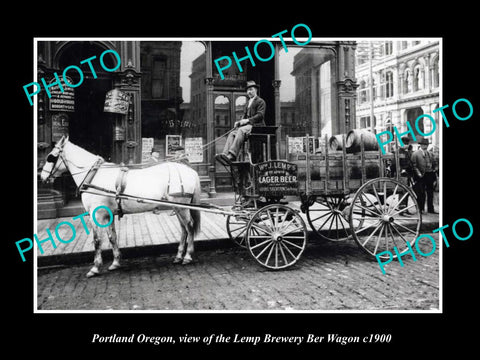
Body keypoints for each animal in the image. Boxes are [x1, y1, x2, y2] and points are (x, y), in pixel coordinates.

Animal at [39, 136, 201, 278]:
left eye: (51, 157)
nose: (42, 177)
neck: (94, 175)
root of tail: (190, 170)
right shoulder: (107, 215)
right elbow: (112, 237)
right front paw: (115, 262)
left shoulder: (96, 215)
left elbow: (97, 240)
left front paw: (95, 267)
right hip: (177, 207)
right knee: (183, 228)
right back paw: (179, 256)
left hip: (182, 206)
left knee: (189, 226)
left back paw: (187, 256)